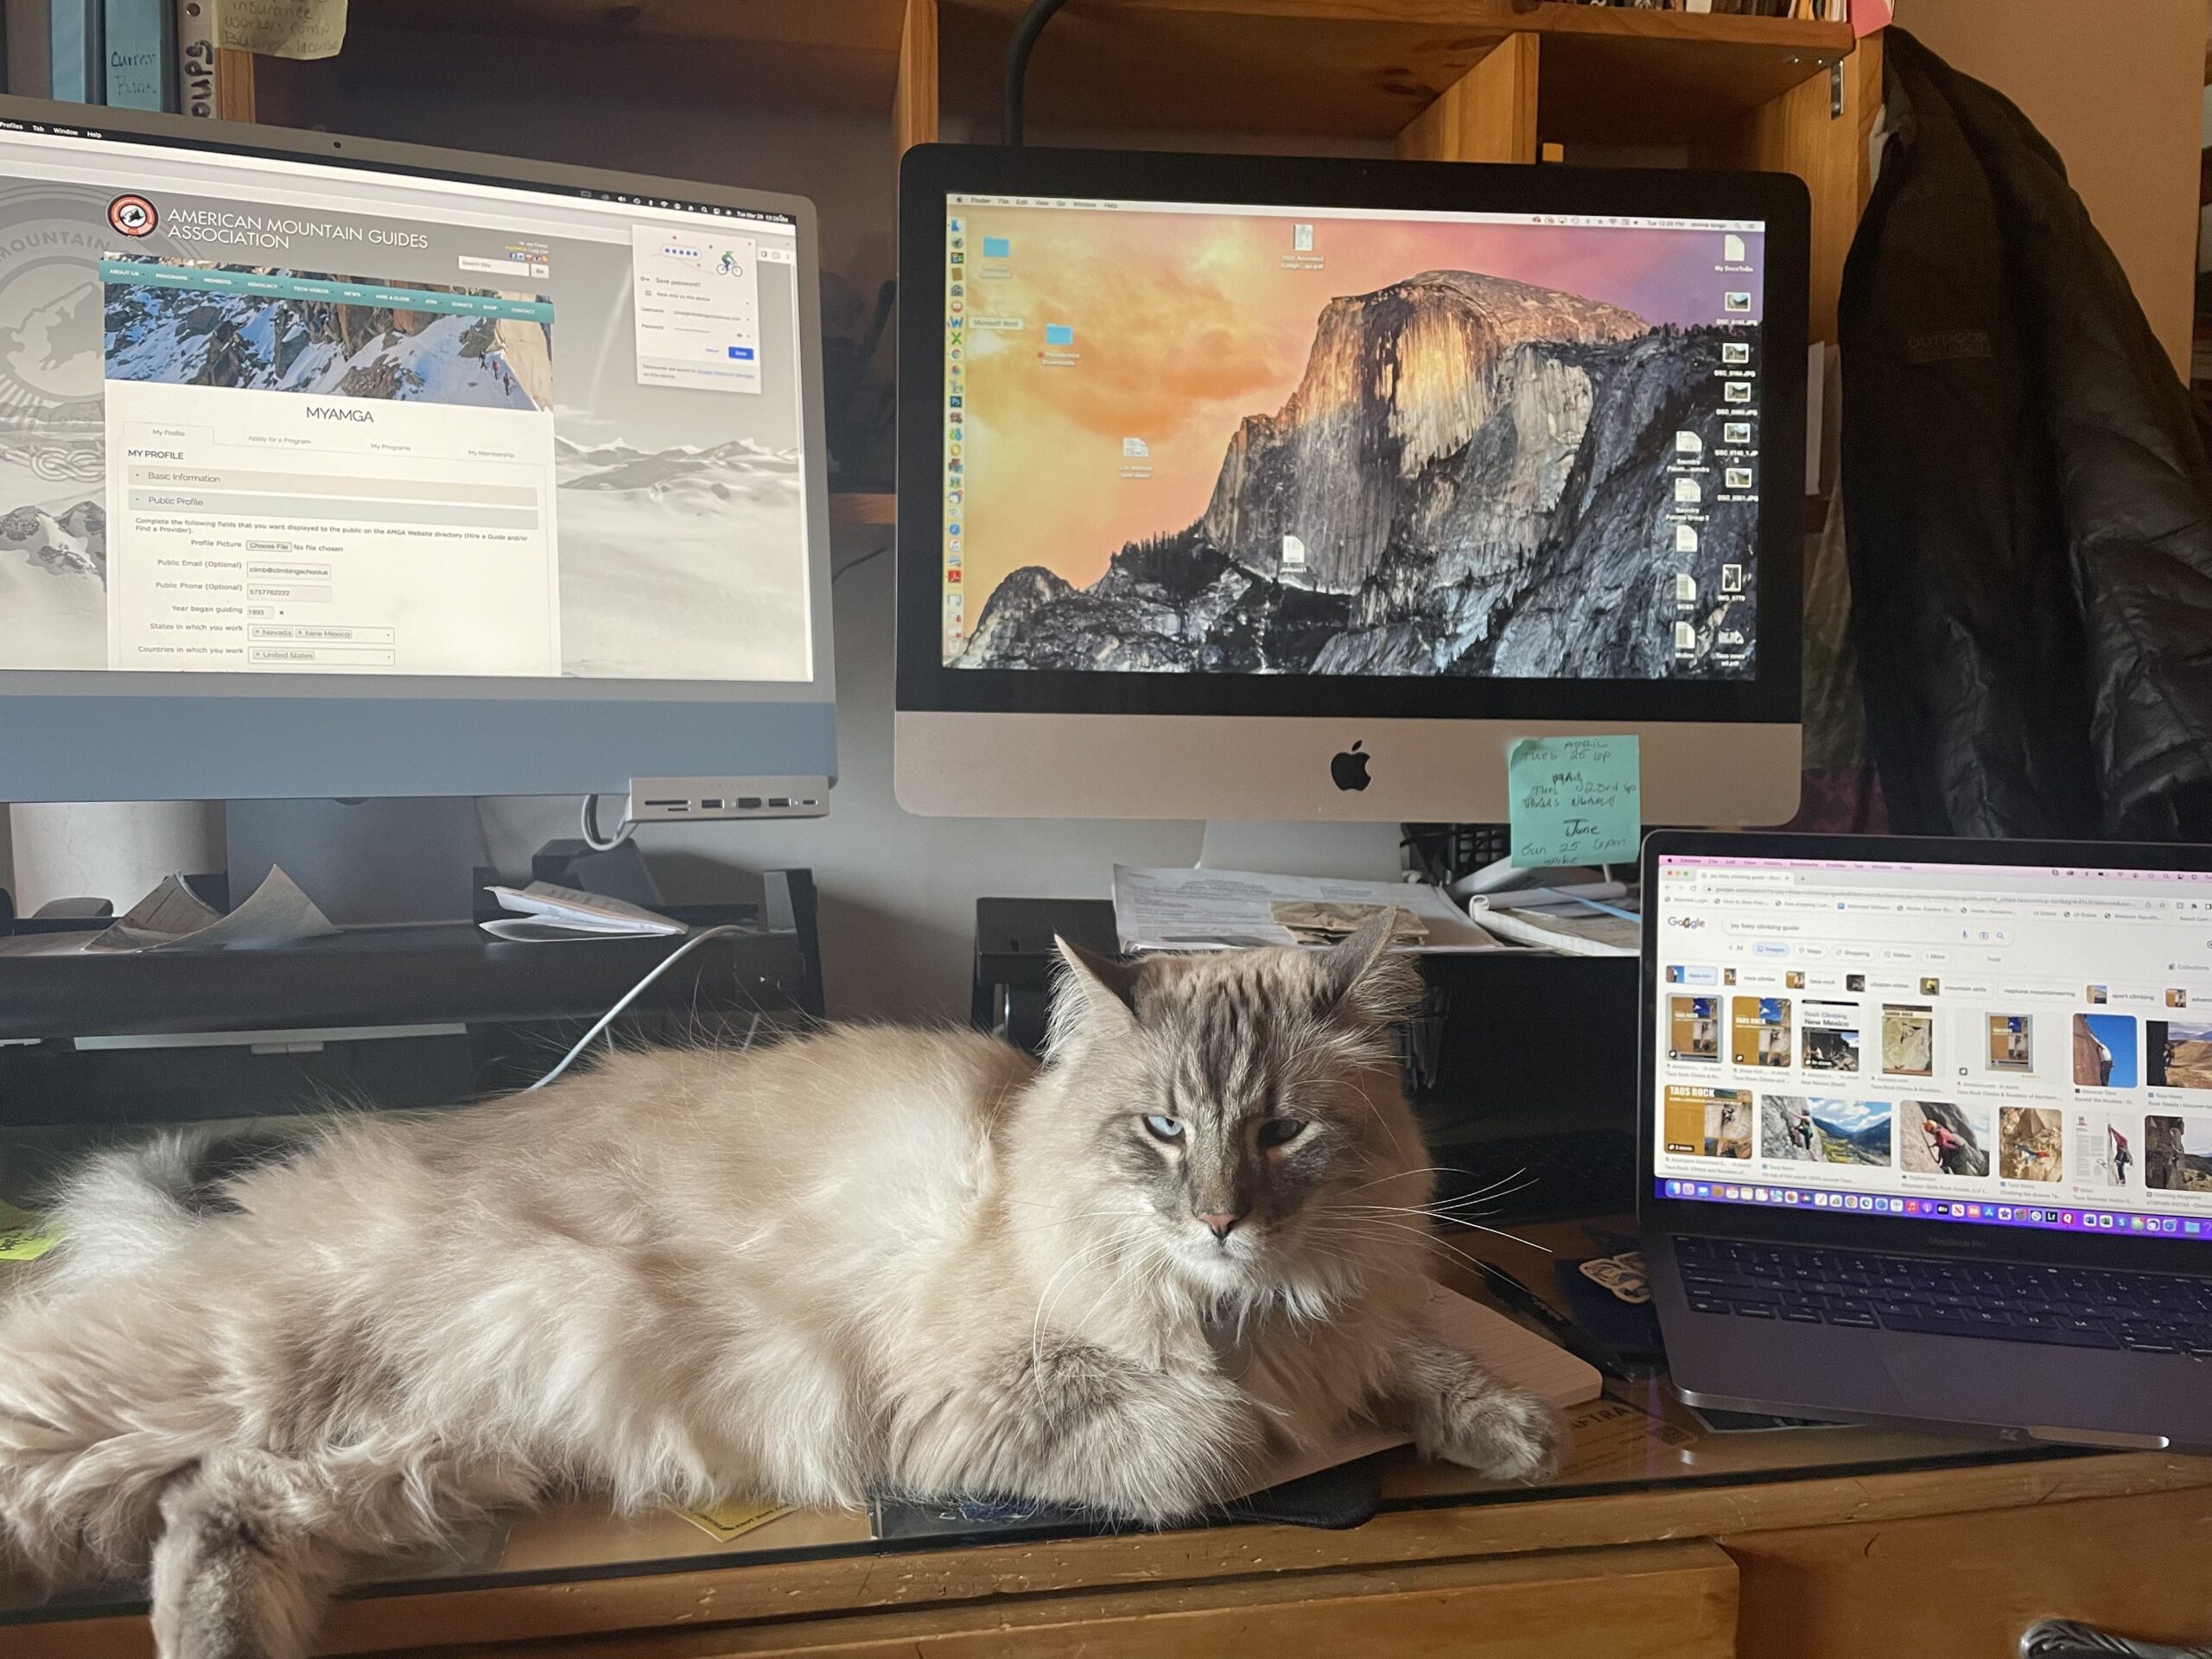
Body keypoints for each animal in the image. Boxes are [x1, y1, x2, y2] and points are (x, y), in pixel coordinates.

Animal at [0, 912, 1558, 1659]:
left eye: (1283, 1132)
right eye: (1166, 1131)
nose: (1226, 1220)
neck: (1247, 1311)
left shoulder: (1360, 1308)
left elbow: (1428, 1357)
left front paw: (1509, 1432)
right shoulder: (968, 1407)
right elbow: (1219, 1441)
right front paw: (1276, 1427)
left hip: (425, 1454)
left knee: (222, 1507)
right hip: (216, 1378)